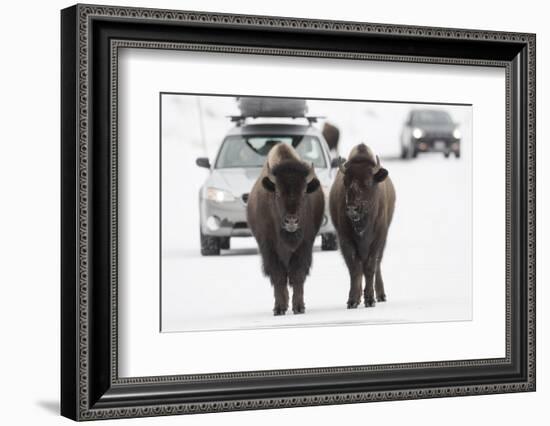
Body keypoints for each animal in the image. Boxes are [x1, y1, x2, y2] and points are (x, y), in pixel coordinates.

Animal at [248, 145, 326, 314]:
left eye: (304, 192)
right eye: (277, 192)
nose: (291, 221)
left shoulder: (304, 246)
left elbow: (297, 275)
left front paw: (299, 307)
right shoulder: (269, 248)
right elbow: (278, 277)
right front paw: (279, 308)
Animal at [332, 145, 396, 308]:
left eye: (367, 182)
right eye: (346, 182)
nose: (352, 209)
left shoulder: (378, 240)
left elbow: (370, 267)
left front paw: (370, 299)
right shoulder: (345, 240)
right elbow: (355, 268)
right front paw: (353, 300)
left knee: (377, 266)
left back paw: (380, 295)